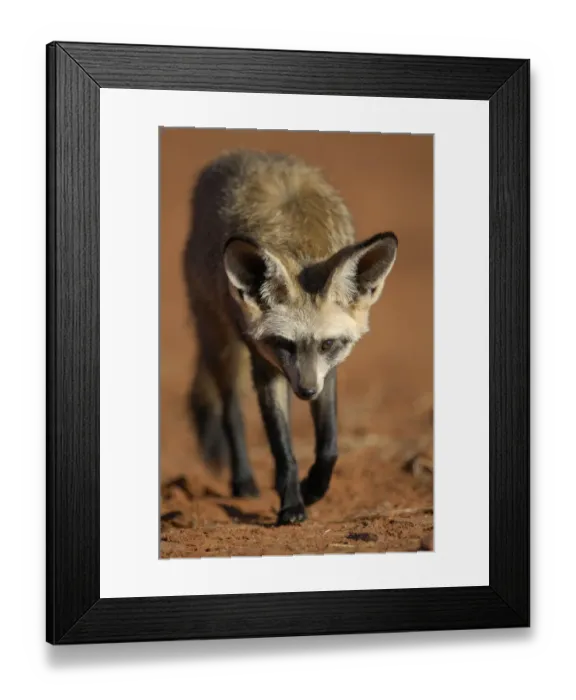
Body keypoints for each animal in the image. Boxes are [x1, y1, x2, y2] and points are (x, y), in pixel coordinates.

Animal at [182, 149, 398, 526]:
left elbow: (329, 445)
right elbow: (282, 448)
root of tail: (241, 154)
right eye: (284, 344)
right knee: (230, 411)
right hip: (220, 341)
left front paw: (313, 488)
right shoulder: (263, 363)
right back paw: (244, 481)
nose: (306, 391)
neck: (300, 245)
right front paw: (292, 505)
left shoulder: (327, 370)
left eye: (328, 344)